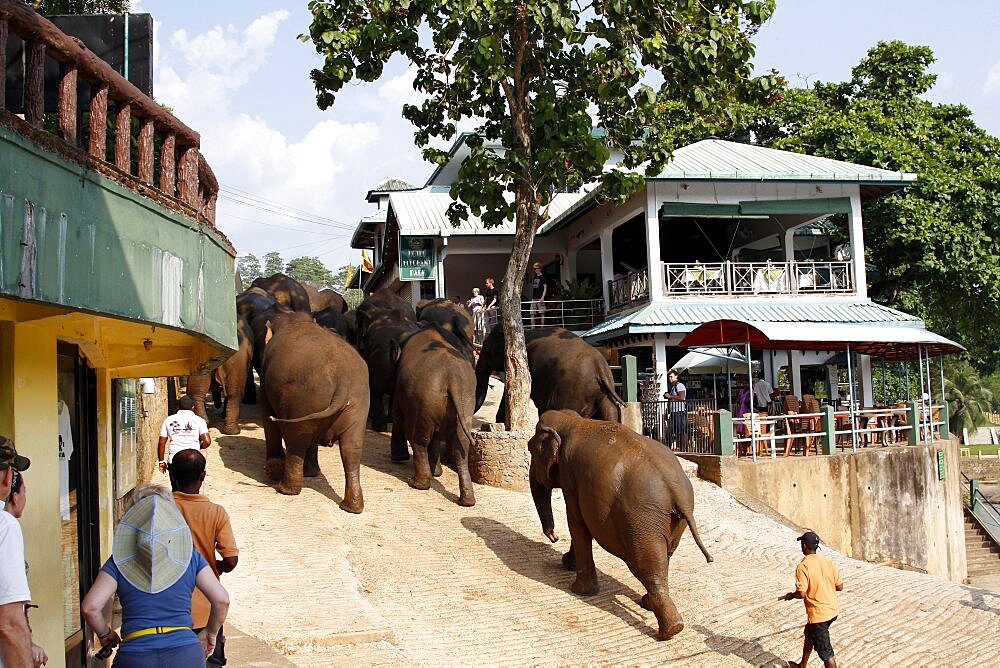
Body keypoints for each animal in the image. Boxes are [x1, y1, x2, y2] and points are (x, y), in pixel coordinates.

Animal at [260, 310, 370, 508]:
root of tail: (342, 379)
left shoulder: (264, 382)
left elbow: (268, 417)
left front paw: (272, 471)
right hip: (358, 405)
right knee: (351, 447)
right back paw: (351, 506)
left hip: (300, 399)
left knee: (296, 440)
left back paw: (285, 488)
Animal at [390, 324, 476, 506]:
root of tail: (453, 377)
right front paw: (437, 472)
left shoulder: (400, 392)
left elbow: (397, 416)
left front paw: (398, 459)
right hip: (464, 402)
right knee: (461, 447)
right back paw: (466, 501)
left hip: (423, 398)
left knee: (418, 439)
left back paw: (416, 483)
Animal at [528, 410, 716, 640]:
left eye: (530, 450)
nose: (553, 537)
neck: (573, 421)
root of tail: (675, 490)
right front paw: (567, 564)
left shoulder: (569, 473)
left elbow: (576, 522)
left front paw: (579, 589)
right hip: (670, 522)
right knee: (663, 559)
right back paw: (651, 607)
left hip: (641, 520)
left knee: (646, 566)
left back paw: (670, 629)